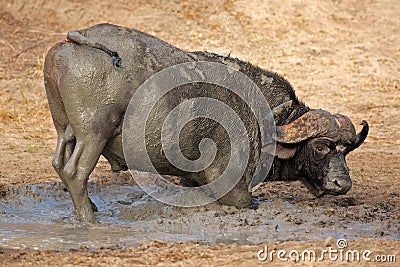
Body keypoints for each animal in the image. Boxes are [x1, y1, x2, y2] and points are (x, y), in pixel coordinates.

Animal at [43, 23, 368, 224]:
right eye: (321, 147)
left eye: (346, 150)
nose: (343, 184)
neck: (264, 118)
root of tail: (75, 40)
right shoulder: (235, 189)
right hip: (93, 134)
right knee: (75, 172)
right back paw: (90, 219)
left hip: (65, 130)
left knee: (59, 162)